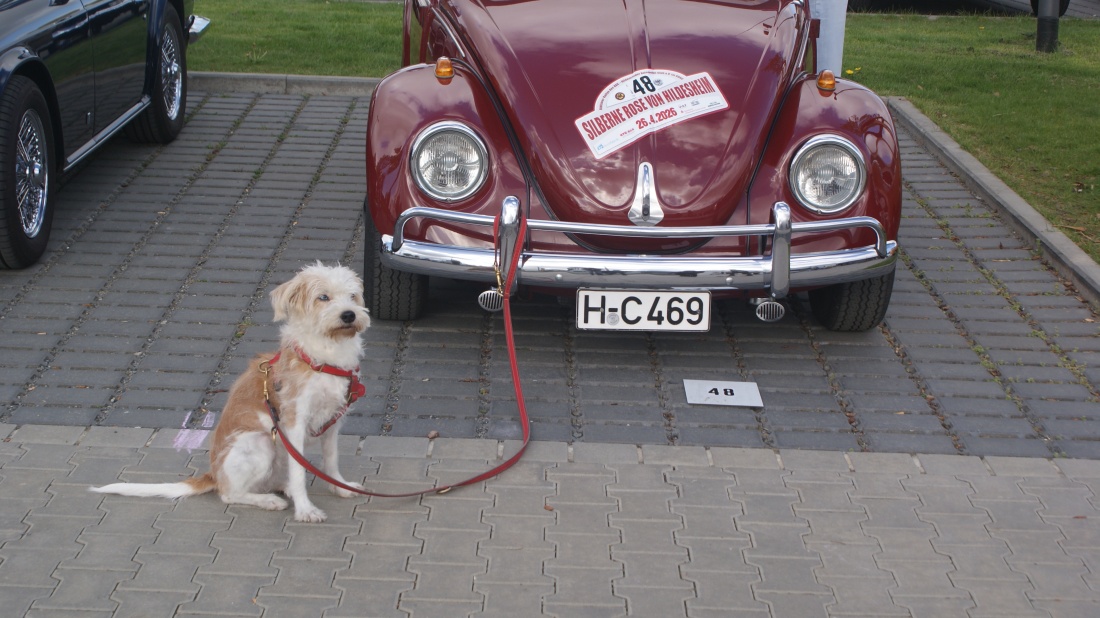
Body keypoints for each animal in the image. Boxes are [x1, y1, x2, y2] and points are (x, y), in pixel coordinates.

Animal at [92, 263, 371, 522]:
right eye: (323, 297)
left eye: (353, 296)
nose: (349, 315)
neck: (324, 357)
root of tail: (214, 474)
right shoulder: (294, 423)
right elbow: (299, 472)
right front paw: (305, 510)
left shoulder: (333, 421)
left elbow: (331, 459)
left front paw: (340, 487)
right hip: (259, 443)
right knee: (229, 493)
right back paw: (269, 500)